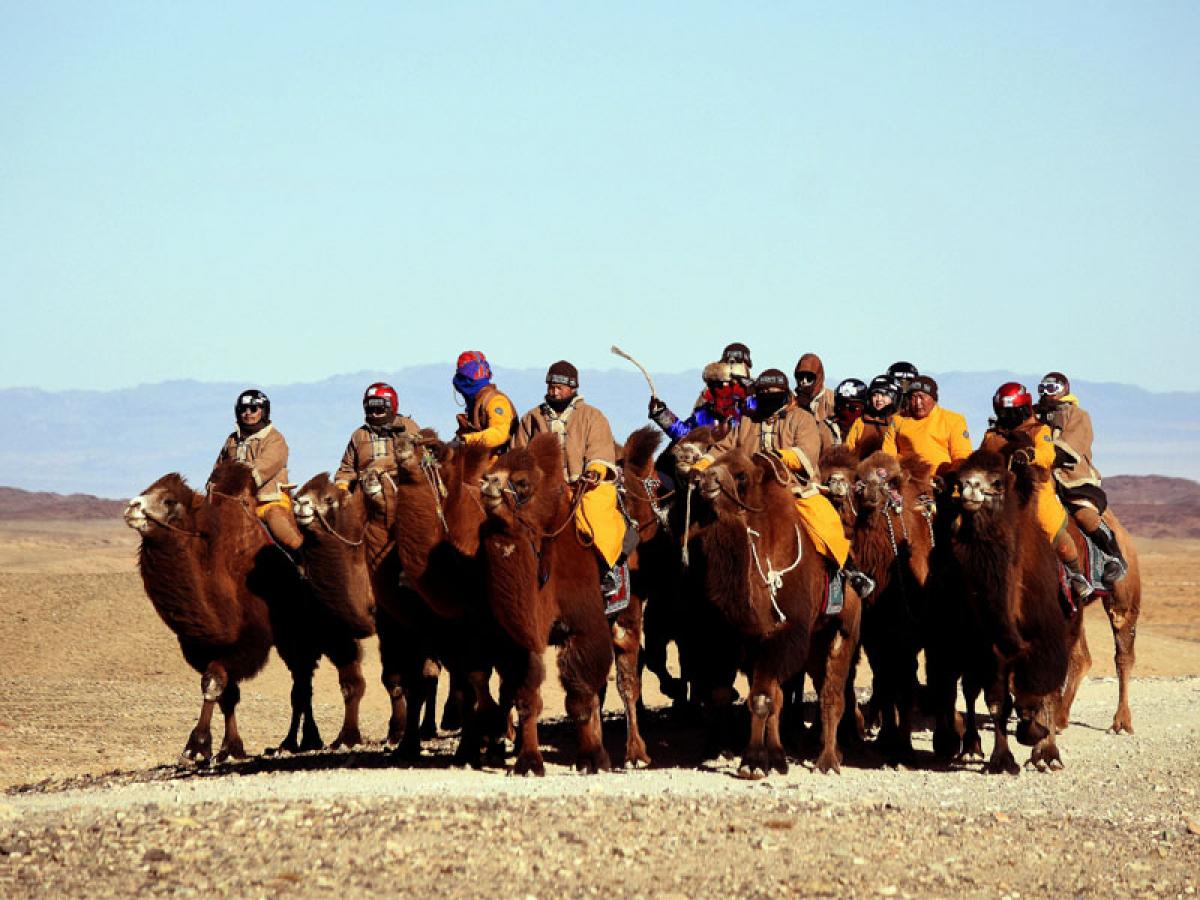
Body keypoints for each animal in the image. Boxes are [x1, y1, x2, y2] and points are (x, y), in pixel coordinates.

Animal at [475, 436, 614, 777]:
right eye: (492, 470)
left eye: (522, 482)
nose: (487, 482)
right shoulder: (520, 641)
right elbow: (527, 698)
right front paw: (527, 762)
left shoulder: (583, 629)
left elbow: (580, 697)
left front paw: (590, 759)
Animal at [696, 453, 864, 777]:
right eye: (713, 460)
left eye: (741, 475)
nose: (706, 479)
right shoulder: (752, 639)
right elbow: (769, 698)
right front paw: (769, 758)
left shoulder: (784, 633)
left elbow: (764, 698)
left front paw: (754, 762)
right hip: (813, 644)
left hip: (844, 630)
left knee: (831, 695)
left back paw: (828, 761)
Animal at [926, 448, 1070, 772]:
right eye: (959, 481)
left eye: (997, 482)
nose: (970, 487)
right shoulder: (986, 648)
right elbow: (997, 701)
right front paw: (1002, 759)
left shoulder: (1048, 641)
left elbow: (1043, 691)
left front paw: (1044, 749)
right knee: (967, 690)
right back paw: (970, 748)